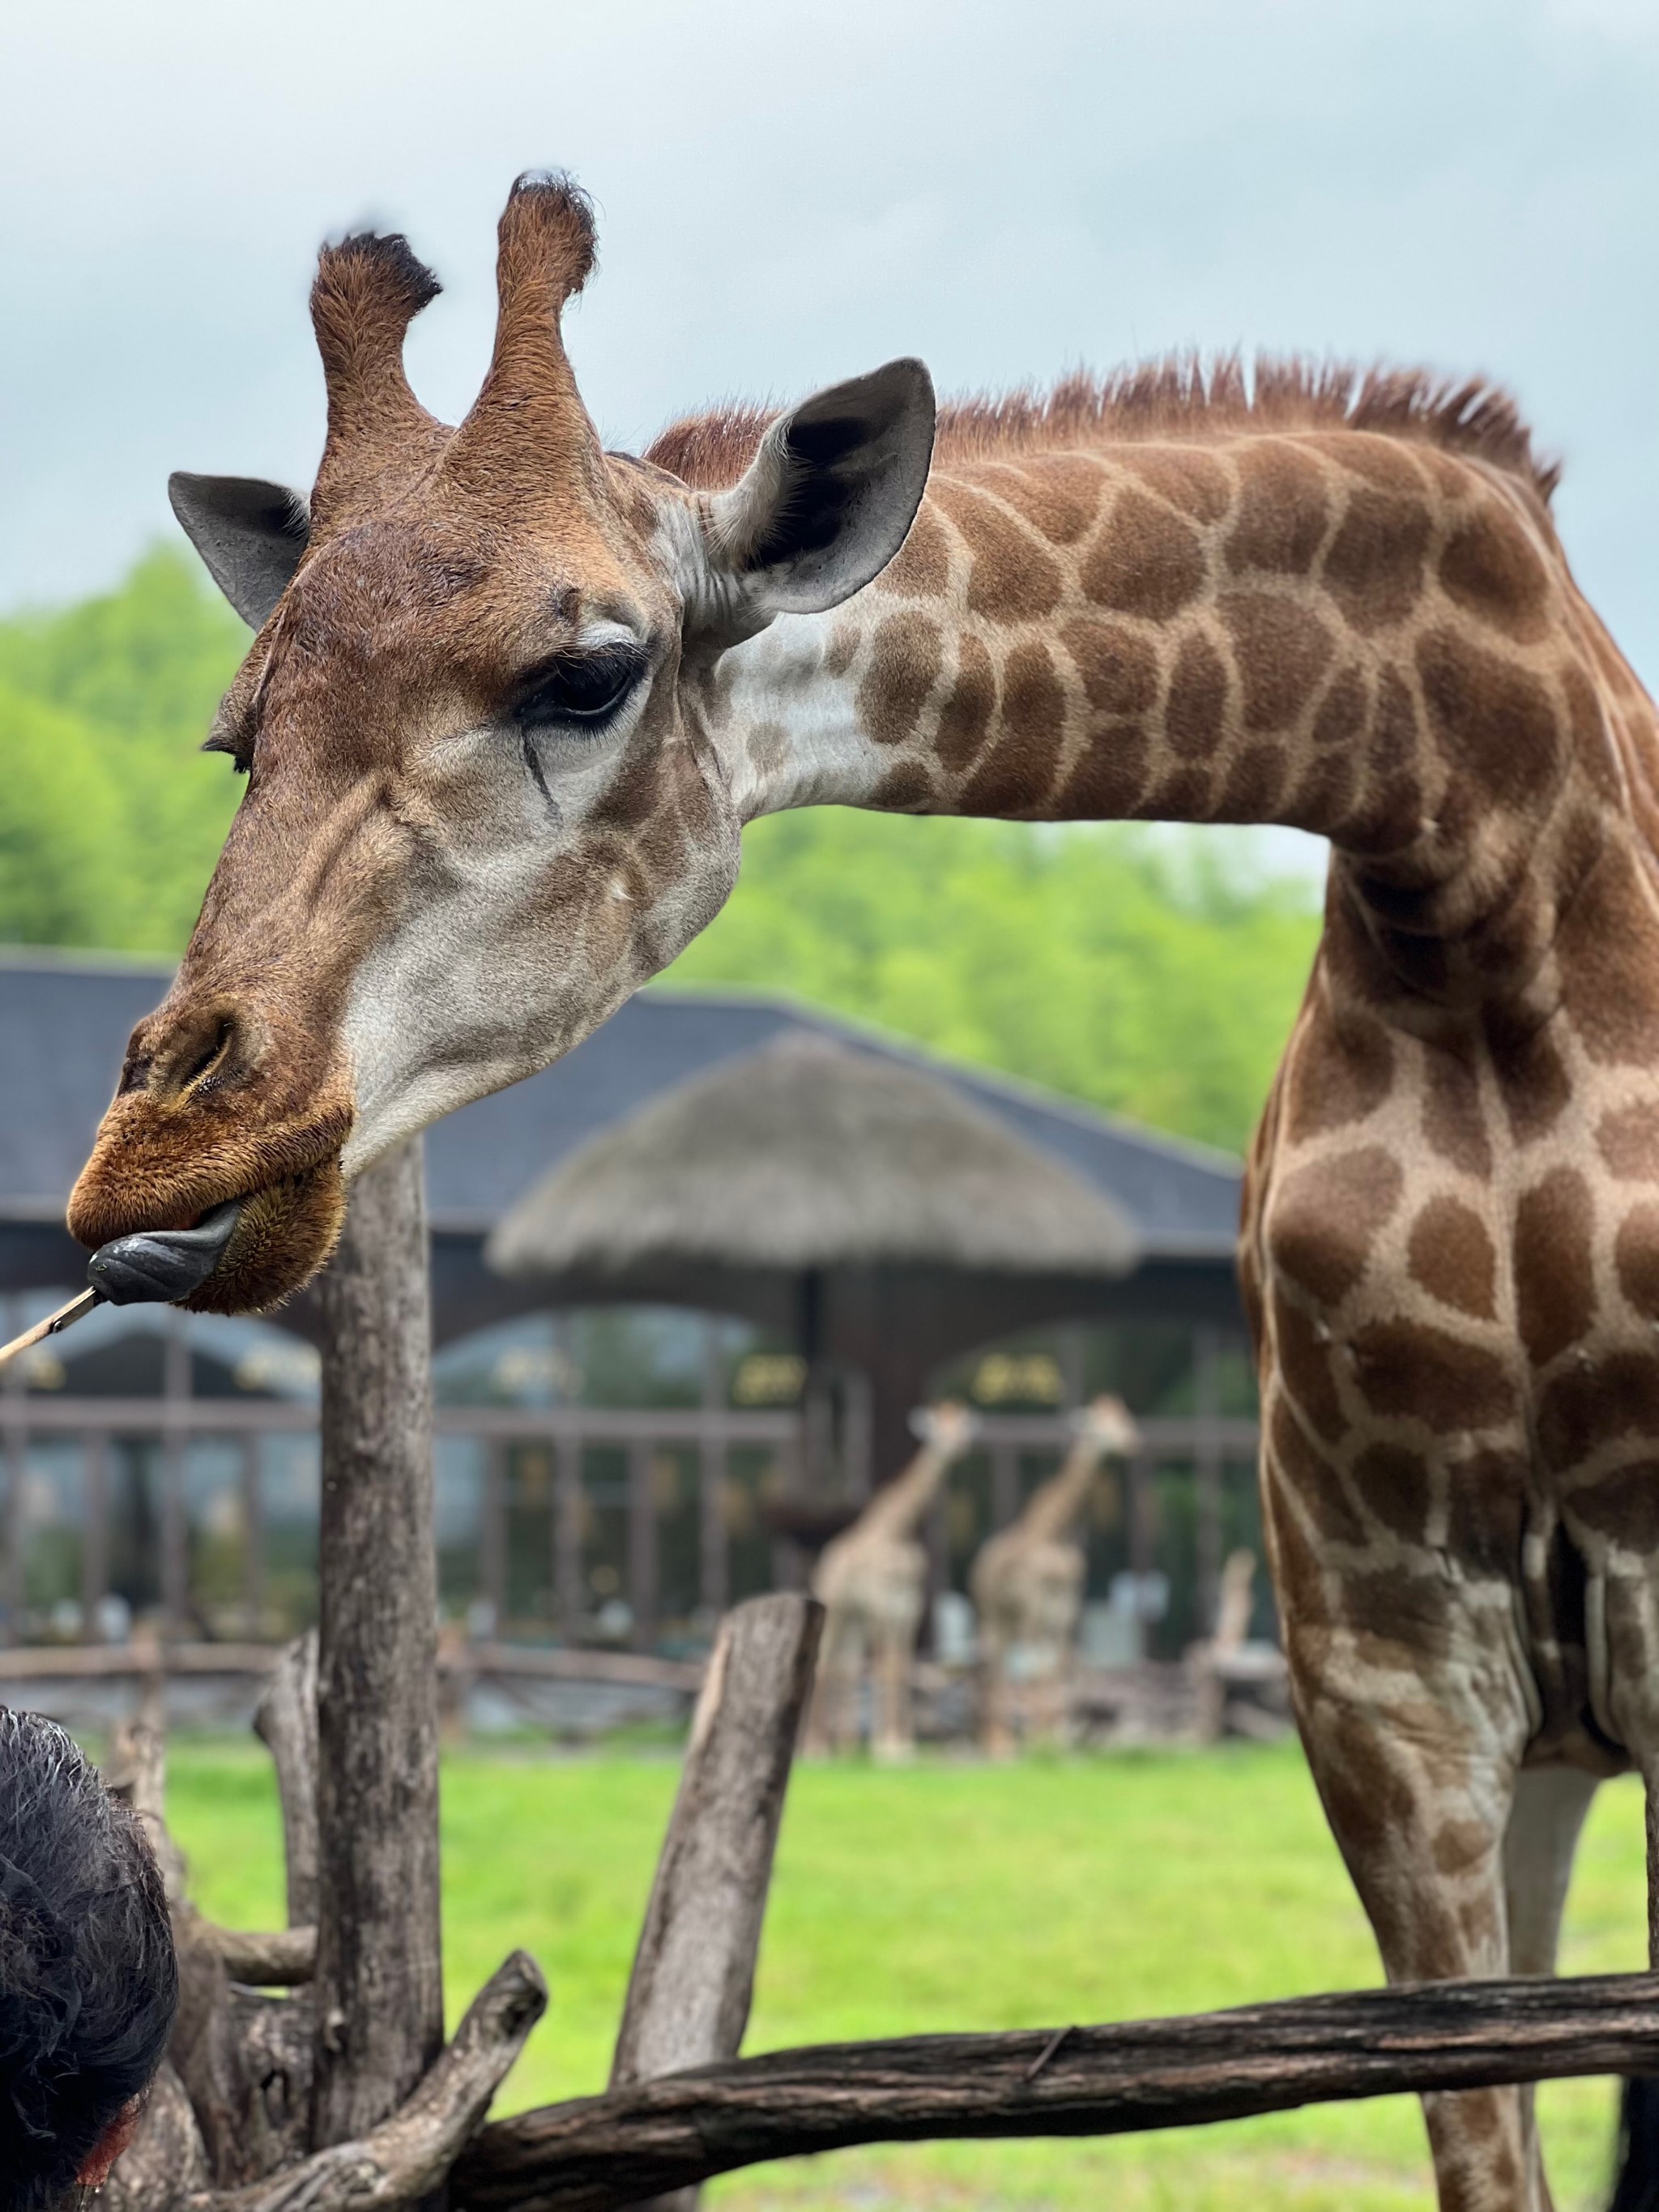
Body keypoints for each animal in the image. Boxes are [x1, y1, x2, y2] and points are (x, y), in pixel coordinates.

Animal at [809, 1398, 982, 1761]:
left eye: (963, 1425)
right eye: (937, 1429)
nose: (961, 1444)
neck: (901, 1529)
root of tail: (823, 1564)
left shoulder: (908, 1606)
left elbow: (901, 1665)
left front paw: (904, 1743)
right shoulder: (881, 1603)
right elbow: (886, 1664)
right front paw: (885, 1746)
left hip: (855, 1619)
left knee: (847, 1664)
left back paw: (846, 1746)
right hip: (838, 1610)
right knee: (828, 1662)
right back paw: (817, 1748)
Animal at [973, 1389, 1141, 1752]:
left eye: (1125, 1418)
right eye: (1101, 1425)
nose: (1133, 1442)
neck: (1058, 1530)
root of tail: (979, 1567)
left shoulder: (1066, 1602)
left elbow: (1058, 1662)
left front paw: (1057, 1736)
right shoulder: (1038, 1603)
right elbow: (1041, 1666)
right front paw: (1042, 1739)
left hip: (1008, 1618)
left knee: (1001, 1664)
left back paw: (1000, 1740)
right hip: (996, 1614)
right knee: (999, 1664)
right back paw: (1001, 1744)